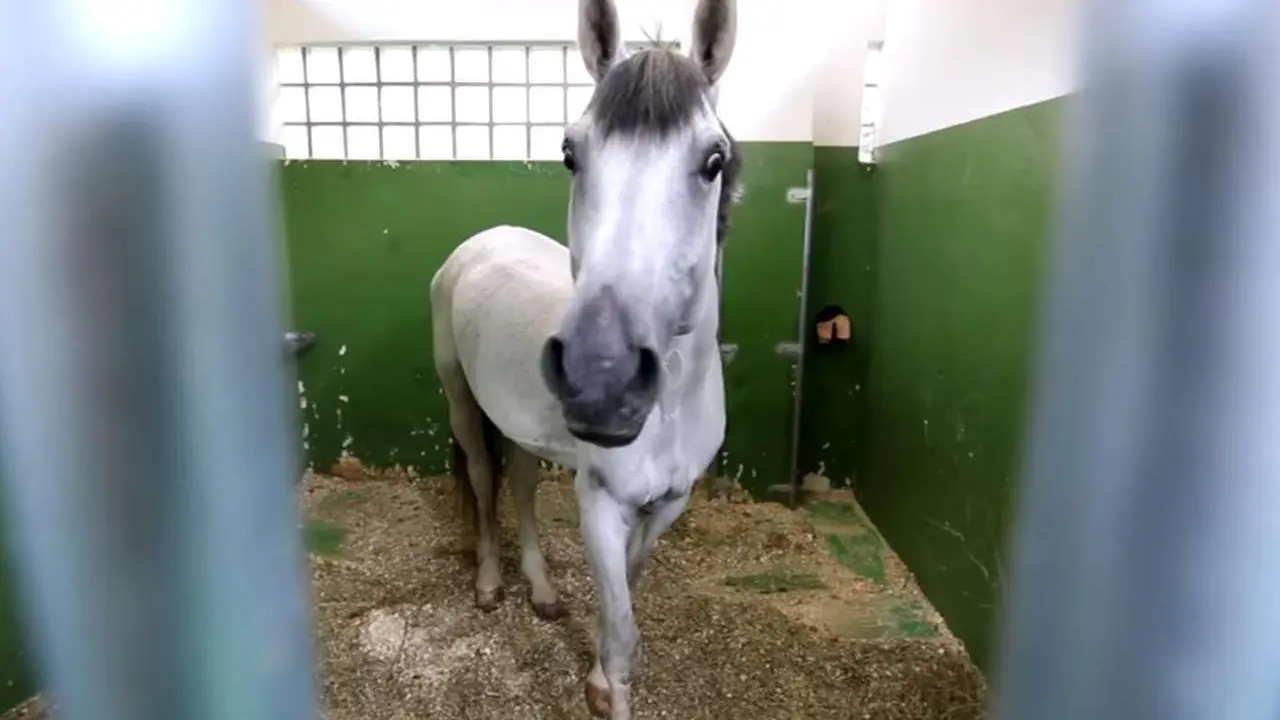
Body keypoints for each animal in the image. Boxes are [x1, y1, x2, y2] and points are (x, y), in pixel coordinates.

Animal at [429, 0, 740, 716]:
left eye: (714, 160)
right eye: (571, 154)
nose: (604, 376)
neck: (670, 410)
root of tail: (483, 240)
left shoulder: (670, 503)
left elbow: (626, 592)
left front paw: (594, 675)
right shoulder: (598, 502)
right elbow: (623, 638)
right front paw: (607, 686)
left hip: (518, 423)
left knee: (518, 484)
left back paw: (541, 591)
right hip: (460, 400)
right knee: (484, 480)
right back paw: (490, 584)